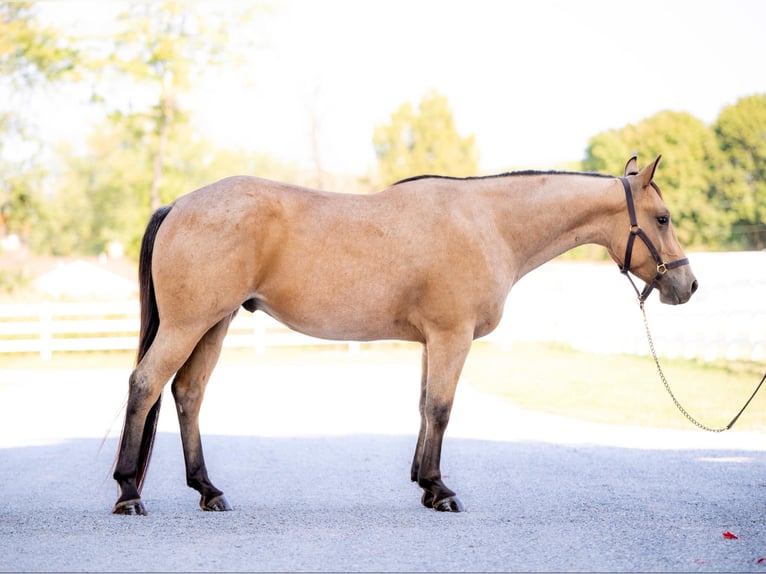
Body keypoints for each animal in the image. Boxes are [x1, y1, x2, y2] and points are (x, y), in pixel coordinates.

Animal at [112, 154, 704, 516]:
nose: (688, 284)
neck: (488, 222)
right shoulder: (451, 336)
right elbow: (441, 408)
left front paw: (424, 483)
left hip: (215, 323)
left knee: (188, 394)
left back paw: (209, 491)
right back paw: (127, 493)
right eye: (663, 217)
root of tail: (178, 205)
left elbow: (423, 406)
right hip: (189, 324)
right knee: (144, 384)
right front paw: (441, 491)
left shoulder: (431, 341)